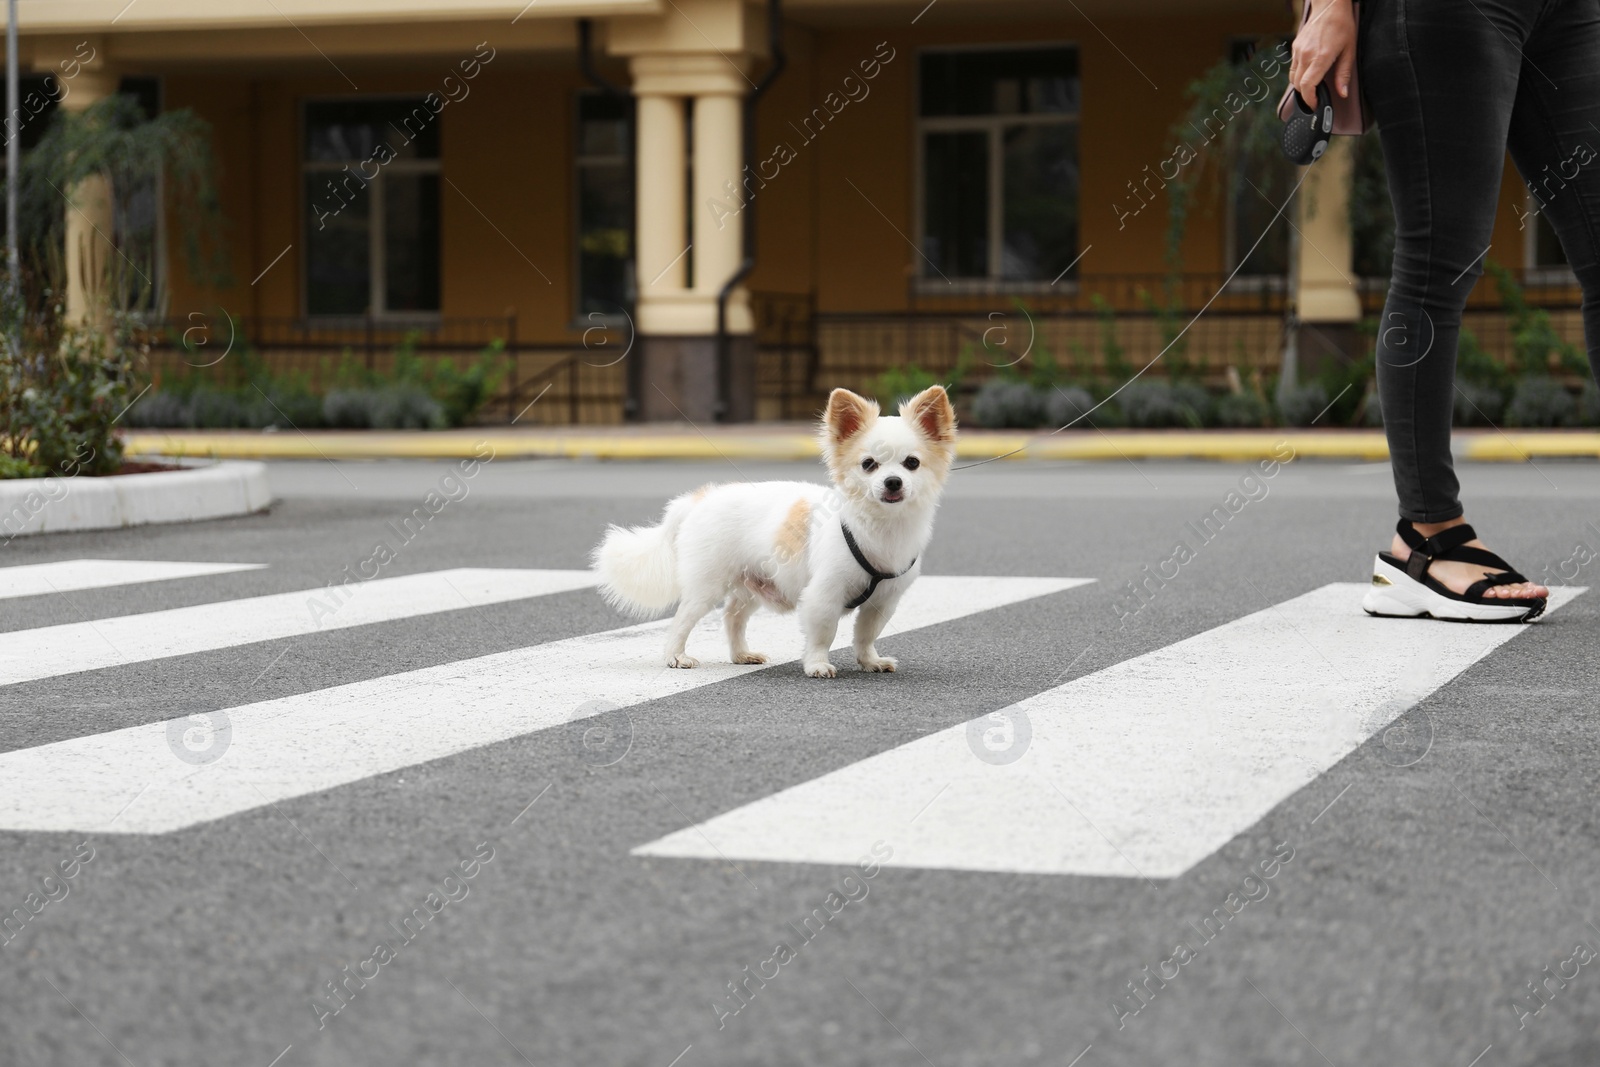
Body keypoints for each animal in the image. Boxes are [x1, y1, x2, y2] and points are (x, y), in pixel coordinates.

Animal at [595, 388, 953, 681]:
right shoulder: (823, 596)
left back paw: (741, 655)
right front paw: (817, 665)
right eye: (869, 465)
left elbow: (866, 635)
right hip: (707, 586)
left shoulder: (883, 602)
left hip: (751, 586)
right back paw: (675, 656)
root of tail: (698, 499)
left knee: (732, 617)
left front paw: (869, 661)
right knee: (682, 619)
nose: (893, 482)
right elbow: (824, 634)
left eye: (911, 463)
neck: (882, 527)